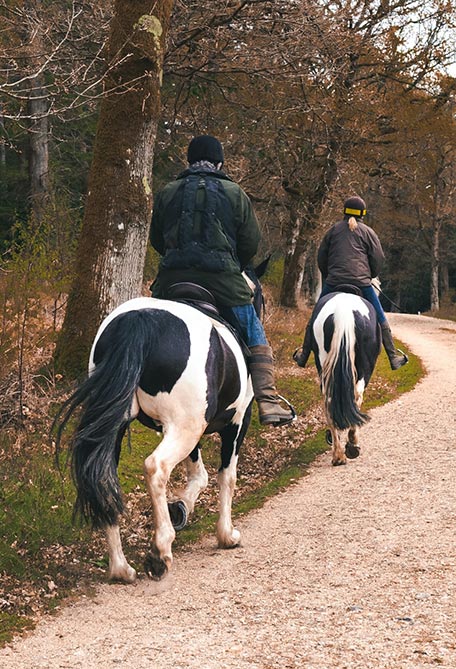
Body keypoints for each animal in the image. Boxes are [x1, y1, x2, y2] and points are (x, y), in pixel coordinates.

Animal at [54, 271, 266, 583]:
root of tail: (140, 320)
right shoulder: (236, 423)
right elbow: (225, 477)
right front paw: (226, 535)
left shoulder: (191, 429)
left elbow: (199, 474)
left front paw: (181, 508)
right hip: (184, 428)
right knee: (156, 467)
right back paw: (160, 551)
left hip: (120, 427)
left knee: (104, 478)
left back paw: (120, 568)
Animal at [308, 289, 381, 466]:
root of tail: (344, 312)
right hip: (364, 367)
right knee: (357, 396)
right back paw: (351, 445)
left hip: (325, 366)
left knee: (328, 400)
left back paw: (338, 454)